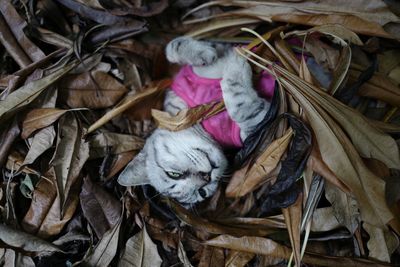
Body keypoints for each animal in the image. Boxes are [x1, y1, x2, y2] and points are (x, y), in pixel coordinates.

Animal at [115, 37, 272, 205]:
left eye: (173, 174)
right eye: (202, 192)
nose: (206, 177)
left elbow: (172, 46)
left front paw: (205, 53)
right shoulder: (258, 122)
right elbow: (240, 107)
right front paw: (235, 66)